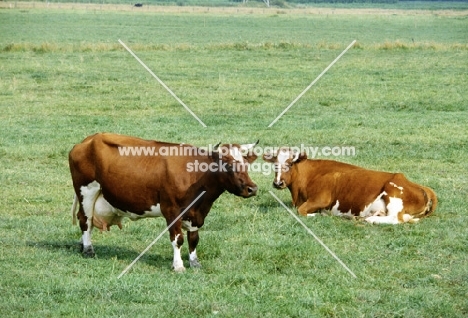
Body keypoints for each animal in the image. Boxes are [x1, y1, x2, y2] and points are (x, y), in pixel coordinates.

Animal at [69, 132, 260, 270]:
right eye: (228, 164)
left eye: (246, 164)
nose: (252, 188)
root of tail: (89, 139)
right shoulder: (171, 210)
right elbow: (178, 239)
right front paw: (178, 265)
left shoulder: (196, 213)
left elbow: (194, 238)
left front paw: (194, 262)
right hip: (87, 191)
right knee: (85, 220)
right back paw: (88, 249)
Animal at [266, 147, 436, 224]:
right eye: (275, 164)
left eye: (290, 163)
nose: (278, 183)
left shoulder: (320, 199)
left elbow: (300, 211)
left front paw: (319, 215)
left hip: (393, 192)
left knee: (396, 219)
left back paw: (368, 219)